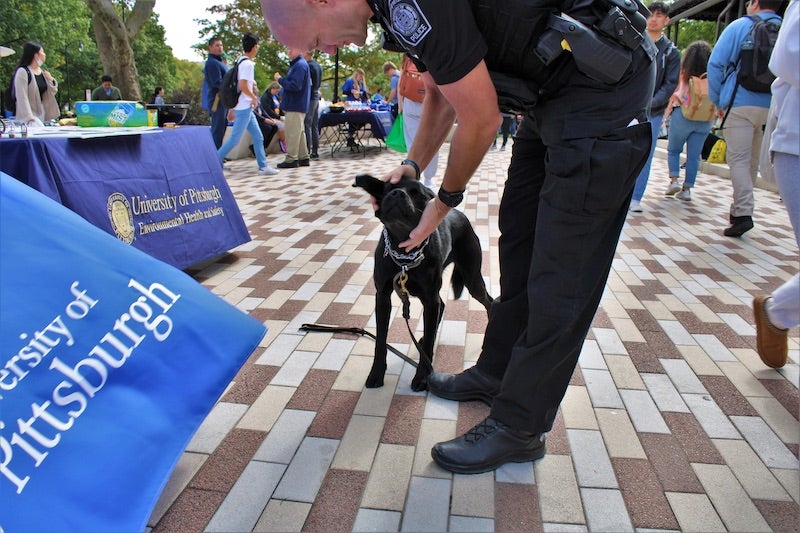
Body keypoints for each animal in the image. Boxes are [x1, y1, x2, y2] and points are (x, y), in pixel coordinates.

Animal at [352, 175, 490, 390]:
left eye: (417, 194)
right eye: (388, 188)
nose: (397, 193)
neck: (403, 253)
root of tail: (460, 214)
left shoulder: (429, 299)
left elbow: (428, 343)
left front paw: (423, 377)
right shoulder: (382, 296)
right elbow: (380, 340)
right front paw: (376, 373)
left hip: (472, 278)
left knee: (490, 301)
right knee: (442, 306)